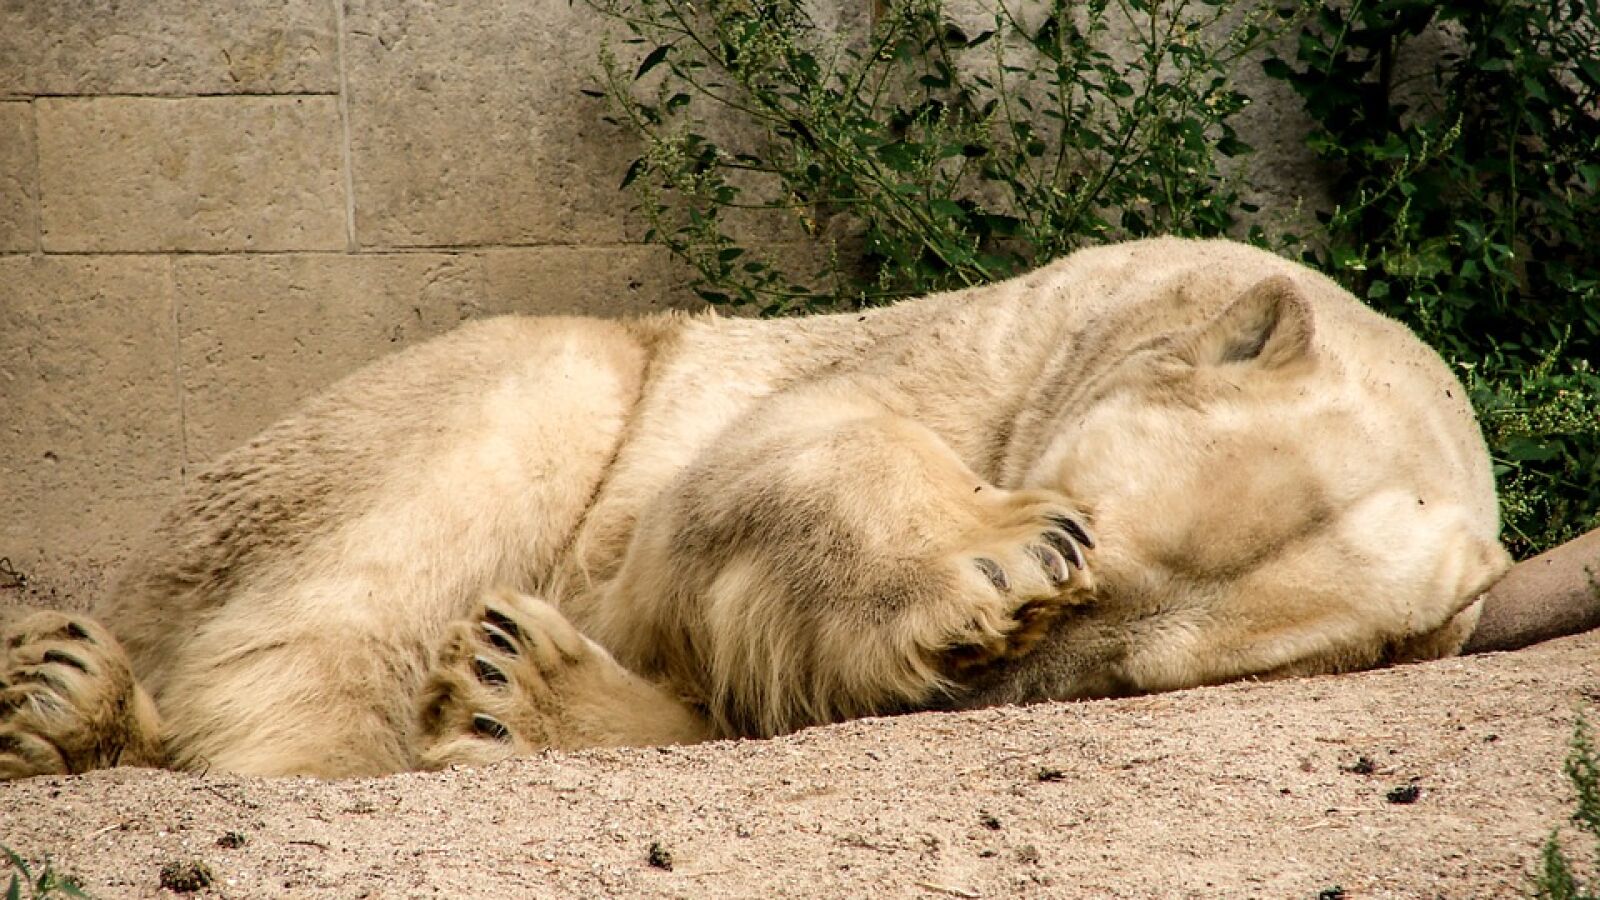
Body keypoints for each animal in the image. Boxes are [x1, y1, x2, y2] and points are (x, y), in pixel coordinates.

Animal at [0, 237, 1513, 779]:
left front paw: (516, 697)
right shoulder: (972, 346)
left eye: (1121, 678)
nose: (995, 669)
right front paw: (988, 560)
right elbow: (755, 467)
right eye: (1087, 523)